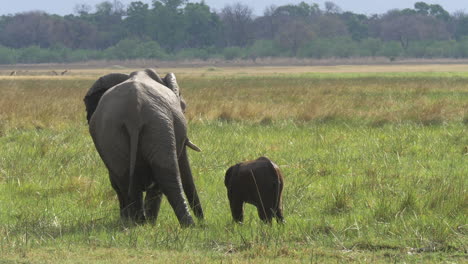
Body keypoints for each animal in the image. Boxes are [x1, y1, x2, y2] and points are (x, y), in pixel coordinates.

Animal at [83, 68, 203, 227]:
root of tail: (134, 113)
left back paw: (138, 222)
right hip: (159, 125)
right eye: (183, 109)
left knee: (127, 179)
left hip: (112, 132)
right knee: (166, 175)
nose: (202, 221)